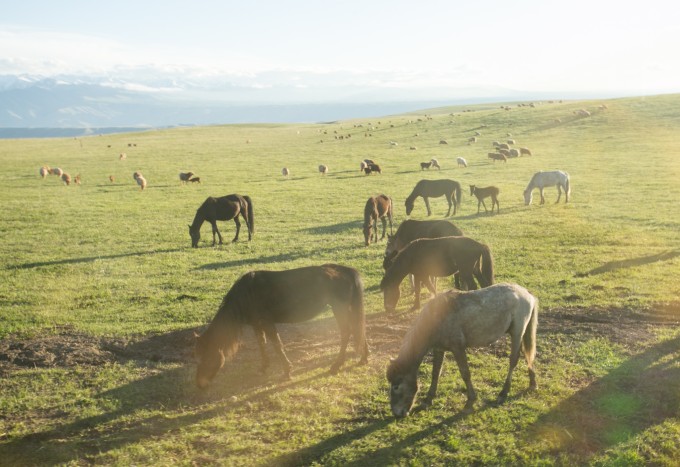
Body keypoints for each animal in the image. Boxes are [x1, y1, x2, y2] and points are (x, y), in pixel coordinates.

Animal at [194, 264, 370, 388]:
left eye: (207, 357)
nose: (200, 384)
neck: (246, 294)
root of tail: (347, 271)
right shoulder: (257, 325)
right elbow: (262, 344)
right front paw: (264, 367)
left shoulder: (267, 323)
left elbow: (277, 345)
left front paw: (287, 371)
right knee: (358, 329)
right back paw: (364, 358)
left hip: (339, 308)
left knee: (347, 332)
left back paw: (337, 364)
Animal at [388, 282, 536, 416]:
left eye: (396, 386)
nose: (397, 413)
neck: (437, 318)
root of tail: (527, 293)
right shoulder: (439, 349)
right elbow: (435, 373)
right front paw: (428, 400)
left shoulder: (457, 348)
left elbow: (465, 373)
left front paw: (470, 401)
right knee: (527, 354)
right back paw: (532, 383)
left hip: (517, 333)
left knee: (513, 361)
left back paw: (503, 393)